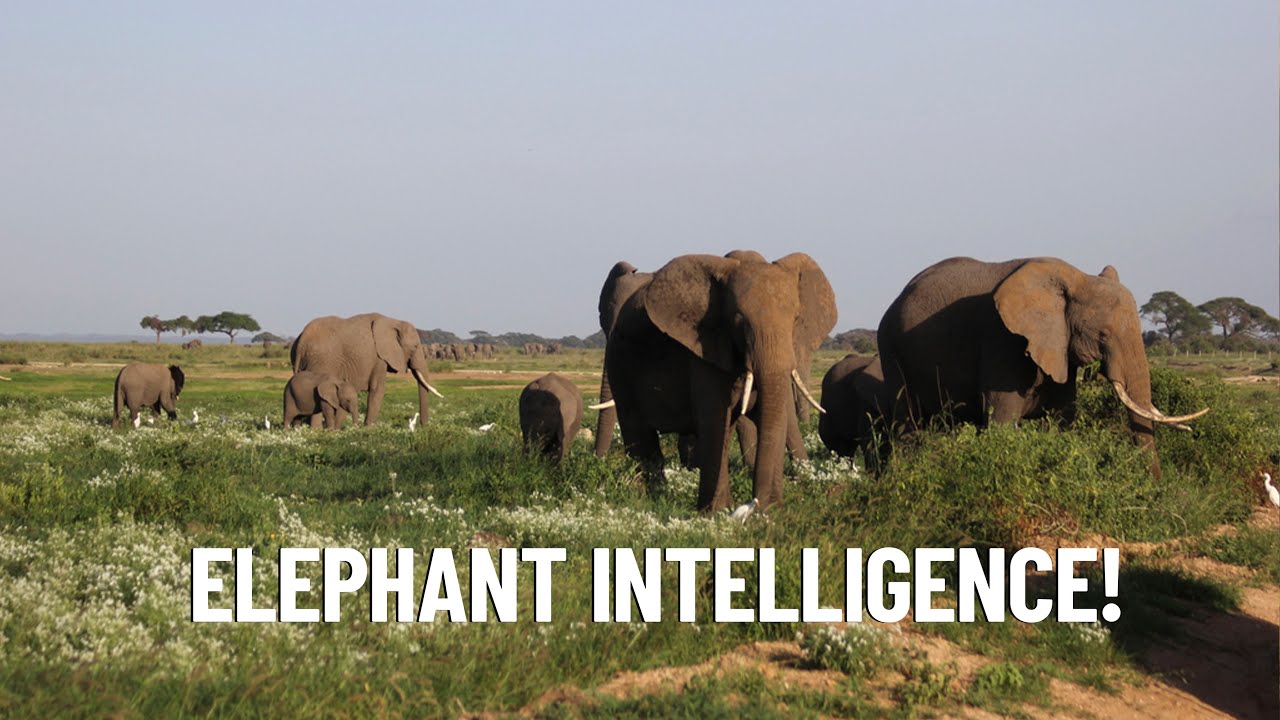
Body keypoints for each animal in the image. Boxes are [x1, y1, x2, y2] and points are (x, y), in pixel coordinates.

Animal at [291, 313, 443, 427]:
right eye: (415, 346)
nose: (423, 427)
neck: (393, 321)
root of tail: (301, 342)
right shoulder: (379, 357)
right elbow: (378, 389)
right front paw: (369, 428)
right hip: (321, 361)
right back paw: (316, 431)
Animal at [603, 252, 836, 511]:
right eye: (738, 322)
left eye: (796, 319)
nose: (757, 504)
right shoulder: (703, 349)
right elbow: (713, 418)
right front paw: (717, 512)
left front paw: (771, 509)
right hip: (620, 364)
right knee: (640, 435)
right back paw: (649, 499)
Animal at [877, 257, 1209, 479]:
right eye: (1102, 336)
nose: (1157, 488)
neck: (1075, 279)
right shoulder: (1002, 340)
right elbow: (1002, 422)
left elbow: (1061, 420)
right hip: (890, 348)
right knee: (906, 424)